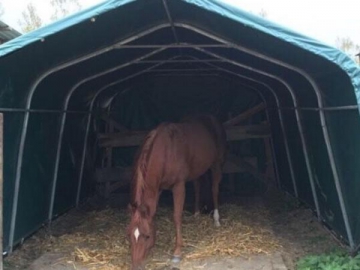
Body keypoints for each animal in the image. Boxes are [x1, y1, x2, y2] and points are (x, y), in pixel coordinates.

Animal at [127, 115, 225, 268]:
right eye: (129, 235)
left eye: (147, 236)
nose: (136, 266)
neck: (166, 152)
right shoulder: (158, 189)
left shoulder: (178, 186)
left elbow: (177, 216)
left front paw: (177, 252)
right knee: (197, 186)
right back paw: (196, 214)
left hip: (216, 164)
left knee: (214, 189)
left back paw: (216, 219)